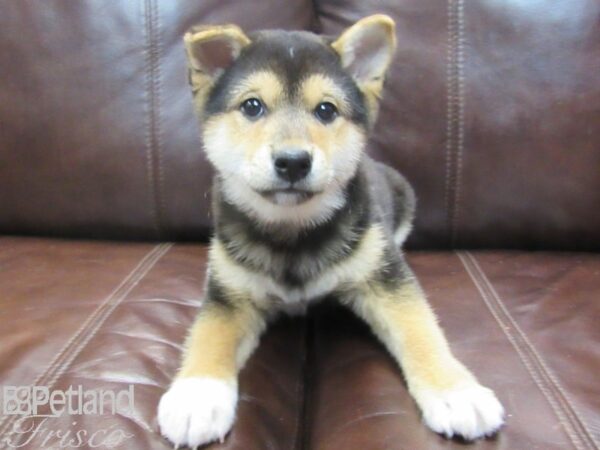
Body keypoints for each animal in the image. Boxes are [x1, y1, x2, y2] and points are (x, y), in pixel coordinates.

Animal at [157, 13, 504, 446]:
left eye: (326, 110)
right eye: (252, 106)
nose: (293, 162)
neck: (292, 230)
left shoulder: (385, 277)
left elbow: (420, 328)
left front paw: (455, 392)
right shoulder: (229, 289)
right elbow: (209, 333)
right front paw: (197, 396)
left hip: (403, 199)